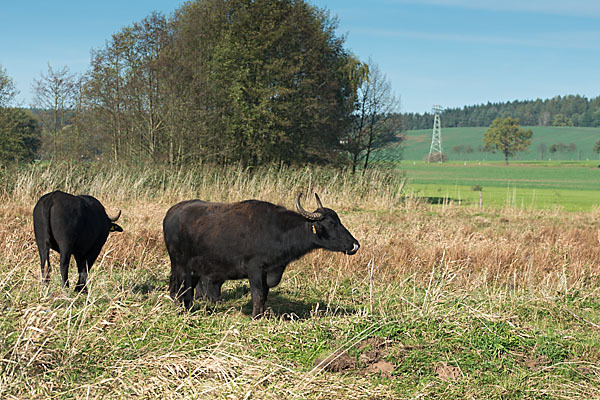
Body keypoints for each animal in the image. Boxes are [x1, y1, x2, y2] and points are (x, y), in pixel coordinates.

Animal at [164, 192, 358, 318]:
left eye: (339, 221)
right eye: (331, 224)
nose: (355, 244)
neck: (278, 231)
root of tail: (171, 212)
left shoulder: (270, 271)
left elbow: (264, 294)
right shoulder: (255, 269)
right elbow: (257, 293)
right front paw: (256, 316)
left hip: (194, 268)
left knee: (187, 288)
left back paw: (189, 308)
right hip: (179, 264)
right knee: (177, 287)